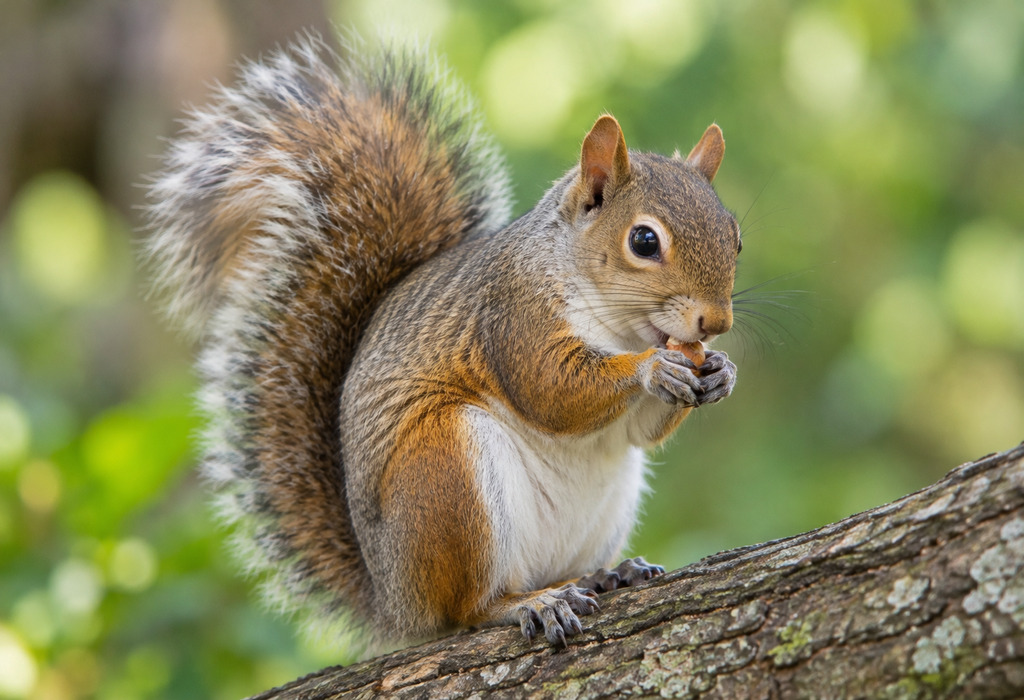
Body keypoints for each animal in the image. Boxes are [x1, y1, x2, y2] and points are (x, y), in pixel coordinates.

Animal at [145, 34, 740, 649]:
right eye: (643, 241)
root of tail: (395, 604)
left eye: (735, 236)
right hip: (447, 476)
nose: (715, 323)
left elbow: (638, 431)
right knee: (465, 610)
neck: (619, 325)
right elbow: (551, 391)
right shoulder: (512, 316)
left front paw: (720, 372)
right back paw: (528, 603)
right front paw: (652, 369)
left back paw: (605, 573)